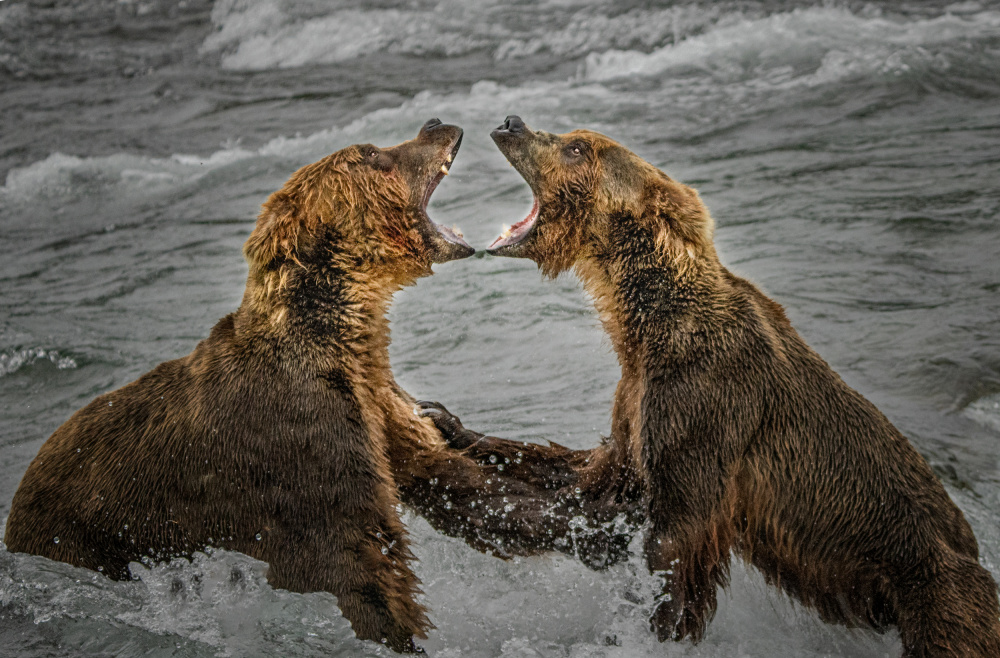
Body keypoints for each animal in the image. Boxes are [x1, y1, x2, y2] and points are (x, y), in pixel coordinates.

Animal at [458, 116, 1000, 656]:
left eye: (578, 148)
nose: (511, 123)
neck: (644, 325)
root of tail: (972, 554)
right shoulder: (637, 399)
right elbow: (595, 472)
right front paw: (458, 429)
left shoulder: (704, 404)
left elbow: (676, 541)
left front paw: (655, 631)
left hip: (933, 592)